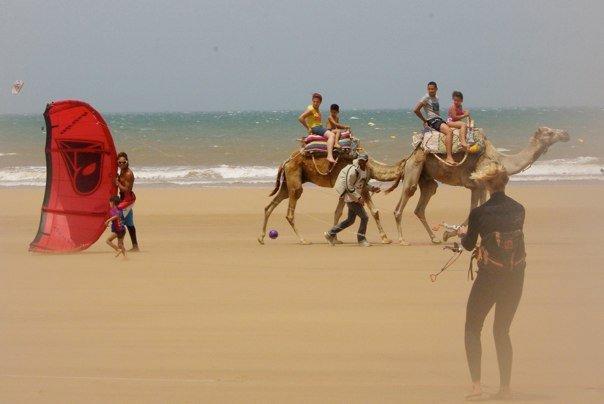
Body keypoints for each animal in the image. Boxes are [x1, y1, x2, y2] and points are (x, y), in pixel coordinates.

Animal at [258, 148, 404, 245]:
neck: (371, 167)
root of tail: (286, 161)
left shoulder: (345, 190)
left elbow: (338, 212)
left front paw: (334, 238)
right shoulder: (360, 187)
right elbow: (375, 211)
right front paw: (385, 238)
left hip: (287, 184)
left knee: (269, 206)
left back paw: (261, 238)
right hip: (295, 182)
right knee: (290, 212)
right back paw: (303, 240)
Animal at [378, 126, 572, 245]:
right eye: (549, 132)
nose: (565, 133)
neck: (499, 159)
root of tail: (409, 155)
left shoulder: (481, 187)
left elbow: (479, 208)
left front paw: (451, 234)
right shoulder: (476, 184)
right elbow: (473, 210)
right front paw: (450, 234)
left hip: (426, 179)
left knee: (423, 203)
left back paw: (434, 239)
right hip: (414, 169)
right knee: (403, 201)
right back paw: (402, 240)